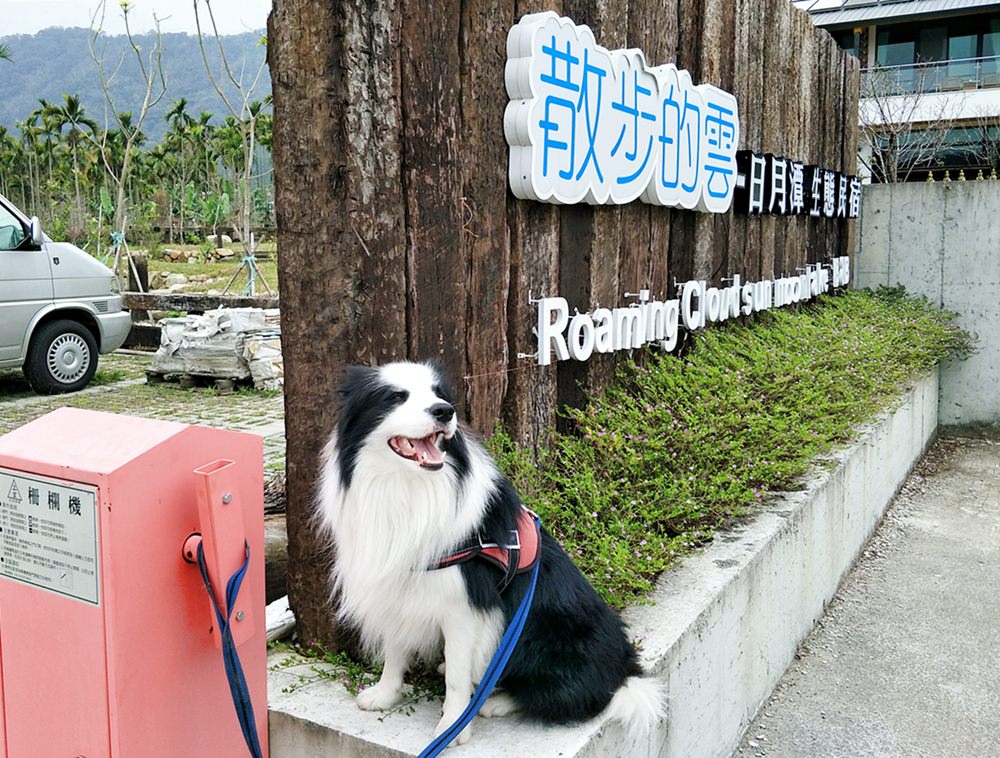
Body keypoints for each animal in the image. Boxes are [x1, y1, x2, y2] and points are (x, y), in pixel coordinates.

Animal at [316, 362, 668, 748]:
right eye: (396, 396)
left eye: (439, 393)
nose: (444, 412)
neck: (408, 488)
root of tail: (624, 673)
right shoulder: (396, 583)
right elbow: (395, 650)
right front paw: (385, 694)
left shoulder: (464, 607)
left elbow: (456, 677)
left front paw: (452, 727)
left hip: (548, 637)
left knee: (565, 695)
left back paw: (493, 701)